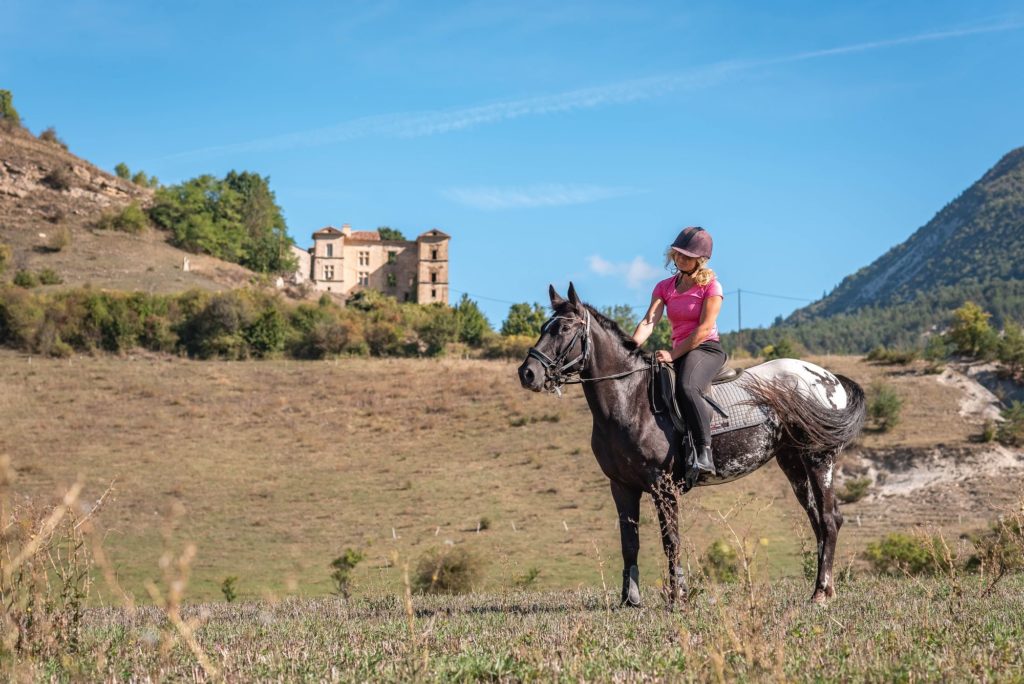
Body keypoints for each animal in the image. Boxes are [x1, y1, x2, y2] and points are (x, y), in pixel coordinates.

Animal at [520, 286, 864, 606]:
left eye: (565, 328)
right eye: (544, 326)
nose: (528, 373)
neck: (630, 399)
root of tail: (828, 377)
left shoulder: (663, 486)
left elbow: (671, 540)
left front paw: (678, 597)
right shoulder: (621, 486)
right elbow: (629, 543)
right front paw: (630, 600)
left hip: (818, 459)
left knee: (830, 520)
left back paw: (820, 593)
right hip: (793, 463)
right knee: (818, 520)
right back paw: (826, 589)